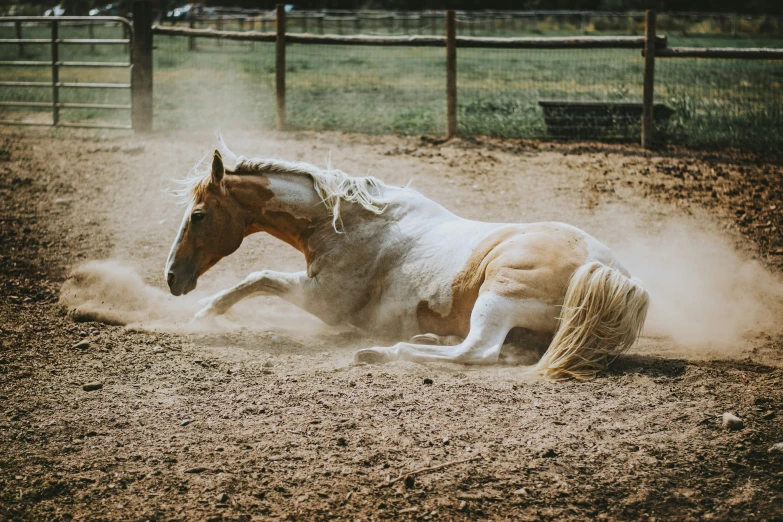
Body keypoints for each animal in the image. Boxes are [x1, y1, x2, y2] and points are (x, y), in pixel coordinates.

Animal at [165, 144, 648, 380]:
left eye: (198, 215)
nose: (172, 278)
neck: (346, 222)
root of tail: (609, 272)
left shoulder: (323, 302)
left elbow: (257, 276)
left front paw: (203, 315)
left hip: (498, 296)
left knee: (479, 350)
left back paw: (382, 352)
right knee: (503, 350)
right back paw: (426, 337)